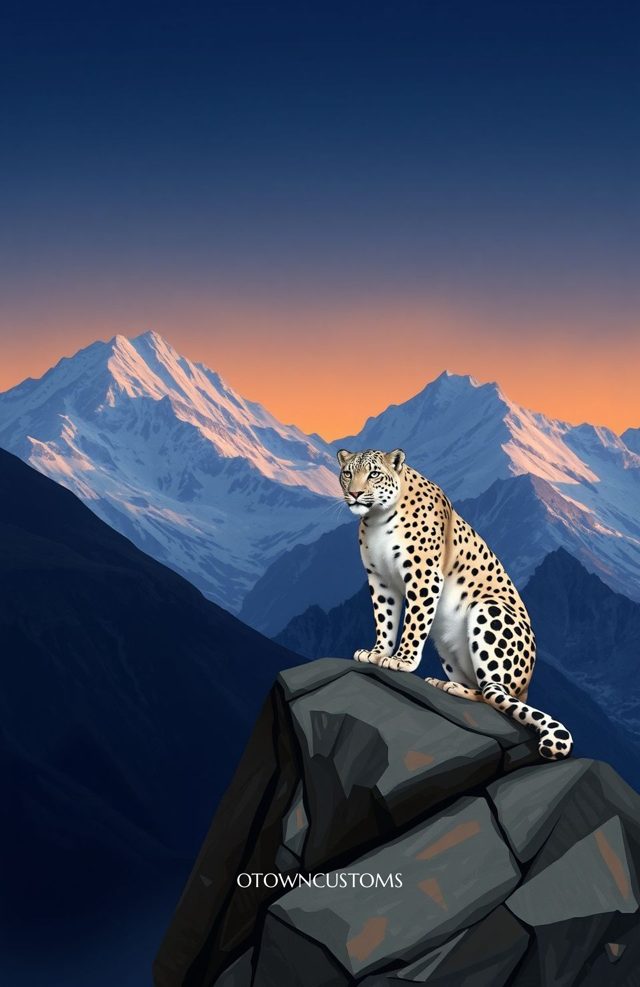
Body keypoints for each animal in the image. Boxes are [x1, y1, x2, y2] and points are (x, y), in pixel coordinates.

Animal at [337, 447, 573, 760]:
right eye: (347, 473)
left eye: (374, 473)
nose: (354, 493)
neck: (377, 518)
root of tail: (526, 686)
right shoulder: (380, 579)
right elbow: (385, 620)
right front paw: (376, 653)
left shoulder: (423, 575)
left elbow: (414, 622)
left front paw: (402, 660)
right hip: (448, 647)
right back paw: (444, 682)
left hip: (489, 610)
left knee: (493, 693)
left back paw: (450, 687)